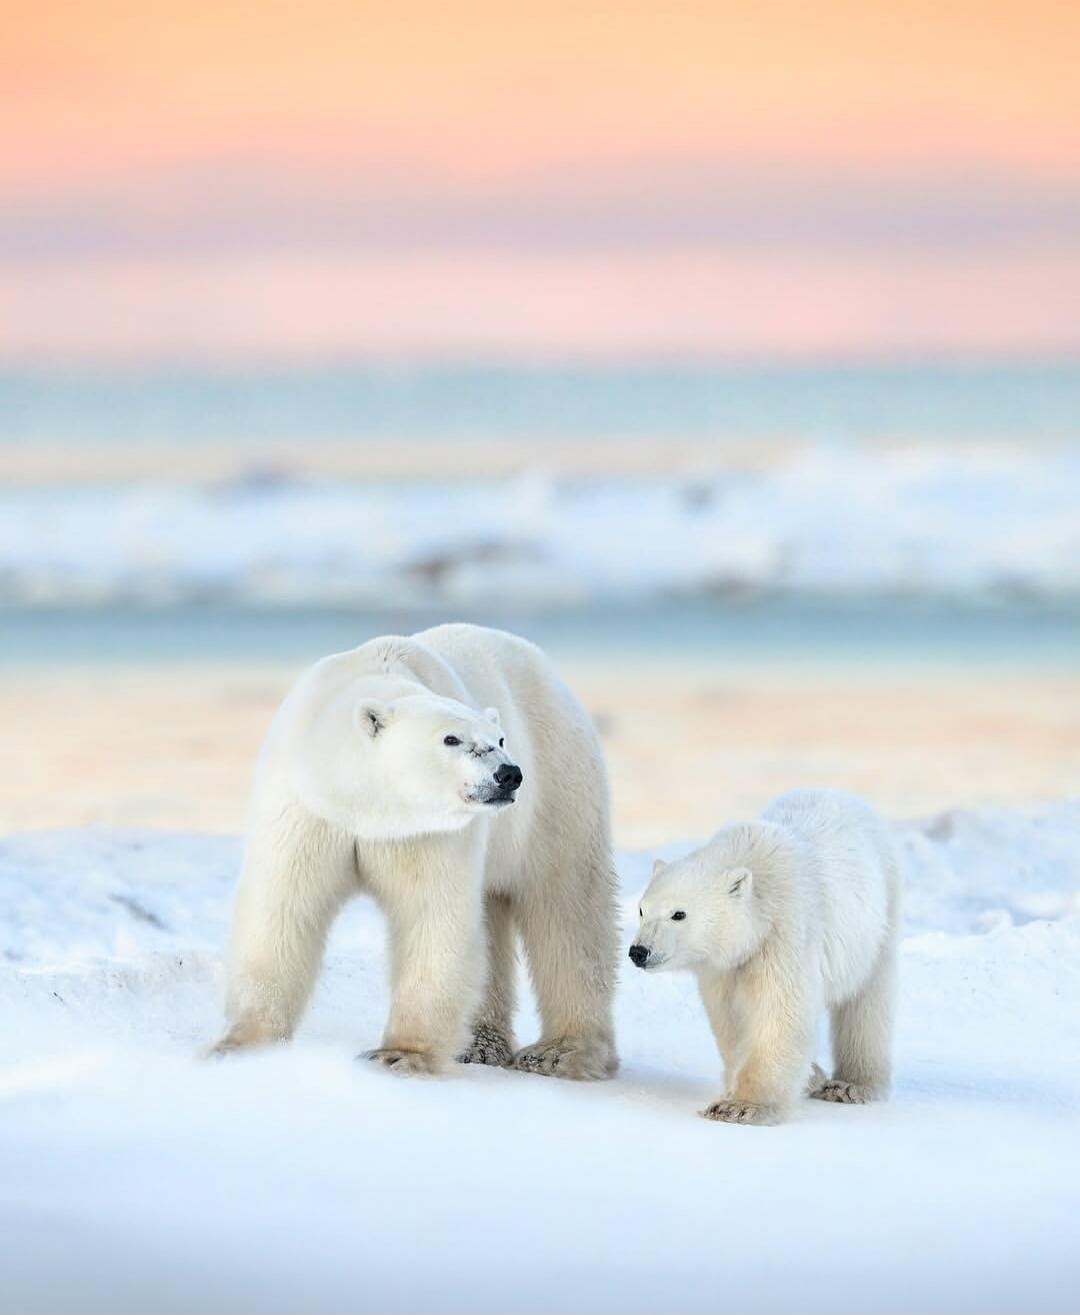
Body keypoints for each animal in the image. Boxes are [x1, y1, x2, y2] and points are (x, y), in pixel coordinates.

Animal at [211, 623, 619, 1081]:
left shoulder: (428, 830)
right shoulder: (310, 808)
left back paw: (559, 1052)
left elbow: (433, 915)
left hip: (556, 787)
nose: (509, 774)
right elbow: (283, 909)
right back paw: (479, 1044)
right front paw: (240, 1046)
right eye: (451, 738)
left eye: (499, 738)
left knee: (568, 909)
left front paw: (399, 1055)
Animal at [629, 788, 900, 1124]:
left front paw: (741, 1106)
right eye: (642, 910)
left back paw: (851, 1085)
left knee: (867, 1000)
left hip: (878, 918)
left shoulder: (784, 933)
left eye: (679, 914)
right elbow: (731, 1020)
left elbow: (780, 1011)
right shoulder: (723, 966)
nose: (639, 951)